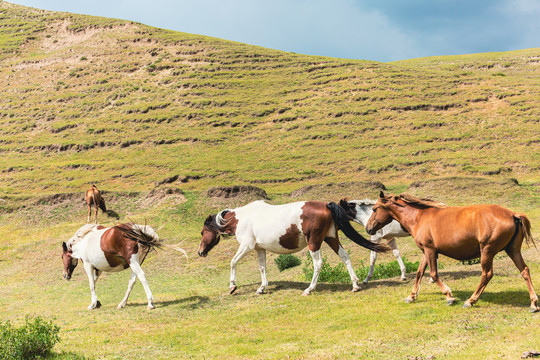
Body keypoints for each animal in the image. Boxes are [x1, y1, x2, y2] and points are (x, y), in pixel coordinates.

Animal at [198, 200, 388, 296]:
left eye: (202, 232)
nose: (200, 252)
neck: (241, 218)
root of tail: (325, 205)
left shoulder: (246, 246)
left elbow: (233, 262)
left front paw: (232, 286)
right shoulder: (259, 249)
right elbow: (262, 268)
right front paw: (262, 288)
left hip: (314, 242)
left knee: (318, 264)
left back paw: (309, 289)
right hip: (331, 238)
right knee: (345, 256)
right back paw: (355, 285)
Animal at [364, 191, 536, 312]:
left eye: (374, 209)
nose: (368, 228)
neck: (419, 217)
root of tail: (512, 214)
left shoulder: (430, 250)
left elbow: (434, 274)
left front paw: (449, 297)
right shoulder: (425, 251)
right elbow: (419, 273)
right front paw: (411, 296)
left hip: (487, 251)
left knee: (486, 275)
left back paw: (470, 301)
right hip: (512, 250)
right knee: (525, 271)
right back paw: (534, 303)